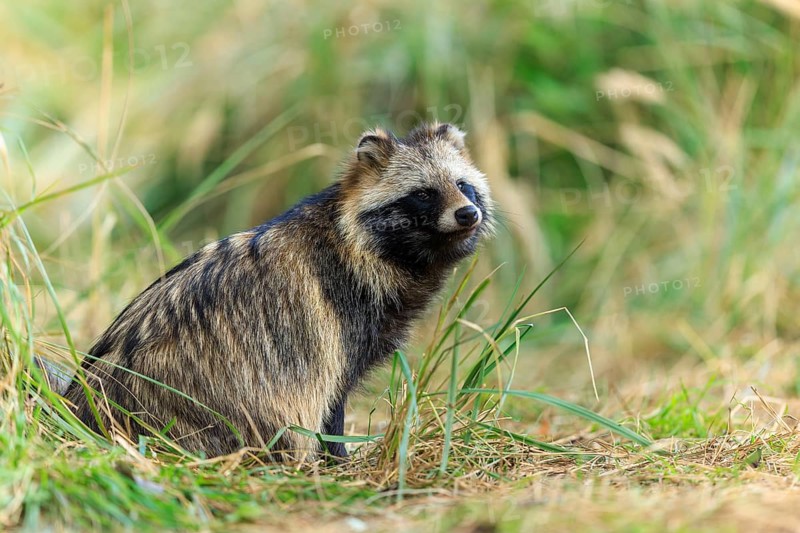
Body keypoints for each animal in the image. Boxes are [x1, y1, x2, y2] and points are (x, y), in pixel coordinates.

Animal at [64, 122, 494, 459]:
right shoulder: (339, 316)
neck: (356, 242)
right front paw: (336, 458)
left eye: (463, 185)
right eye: (423, 193)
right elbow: (329, 398)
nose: (467, 213)